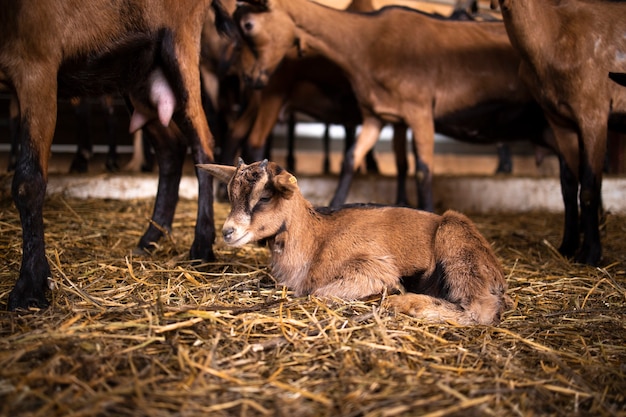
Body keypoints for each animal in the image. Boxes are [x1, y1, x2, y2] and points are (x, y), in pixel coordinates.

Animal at [0, 0, 232, 308]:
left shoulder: (37, 64)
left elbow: (28, 182)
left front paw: (29, 288)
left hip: (179, 44)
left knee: (202, 143)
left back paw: (202, 245)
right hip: (138, 73)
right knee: (170, 147)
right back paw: (151, 237)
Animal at [492, 0, 624, 264]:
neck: (553, 32)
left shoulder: (594, 114)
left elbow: (590, 187)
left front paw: (590, 255)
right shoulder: (561, 123)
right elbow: (568, 187)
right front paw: (567, 247)